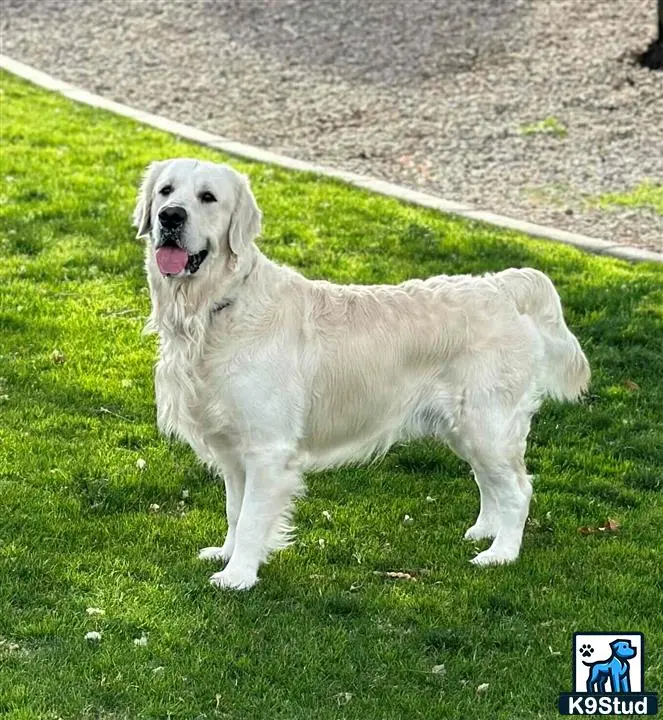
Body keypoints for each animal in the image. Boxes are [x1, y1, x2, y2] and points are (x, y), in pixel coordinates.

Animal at [135, 159, 592, 592]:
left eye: (208, 197)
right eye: (166, 191)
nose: (170, 217)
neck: (216, 308)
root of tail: (501, 286)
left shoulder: (267, 448)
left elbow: (251, 519)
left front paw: (239, 576)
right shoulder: (233, 449)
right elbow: (235, 510)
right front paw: (226, 554)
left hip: (487, 423)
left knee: (518, 488)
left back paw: (501, 553)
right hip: (464, 427)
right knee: (490, 481)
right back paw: (484, 532)